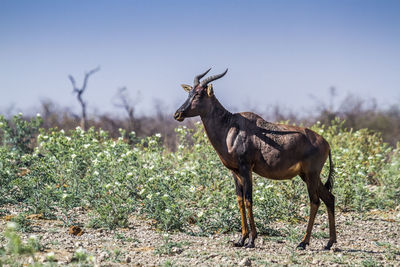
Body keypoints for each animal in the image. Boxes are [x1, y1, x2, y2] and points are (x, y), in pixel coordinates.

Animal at [173, 69, 336, 251]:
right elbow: (239, 200)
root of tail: (326, 143)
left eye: (199, 94)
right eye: (189, 92)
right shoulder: (235, 172)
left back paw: (303, 242)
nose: (178, 114)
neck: (231, 127)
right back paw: (329, 243)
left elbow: (248, 200)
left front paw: (251, 240)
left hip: (311, 174)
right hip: (306, 175)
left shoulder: (246, 169)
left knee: (315, 201)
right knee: (329, 198)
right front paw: (240, 239)